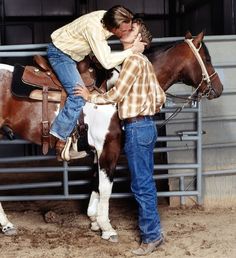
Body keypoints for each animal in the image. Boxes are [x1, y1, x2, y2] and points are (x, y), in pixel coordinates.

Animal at [0, 32, 223, 242]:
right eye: (207, 58)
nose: (219, 89)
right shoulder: (109, 148)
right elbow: (106, 188)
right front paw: (107, 228)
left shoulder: (98, 152)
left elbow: (96, 185)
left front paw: (94, 220)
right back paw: (7, 225)